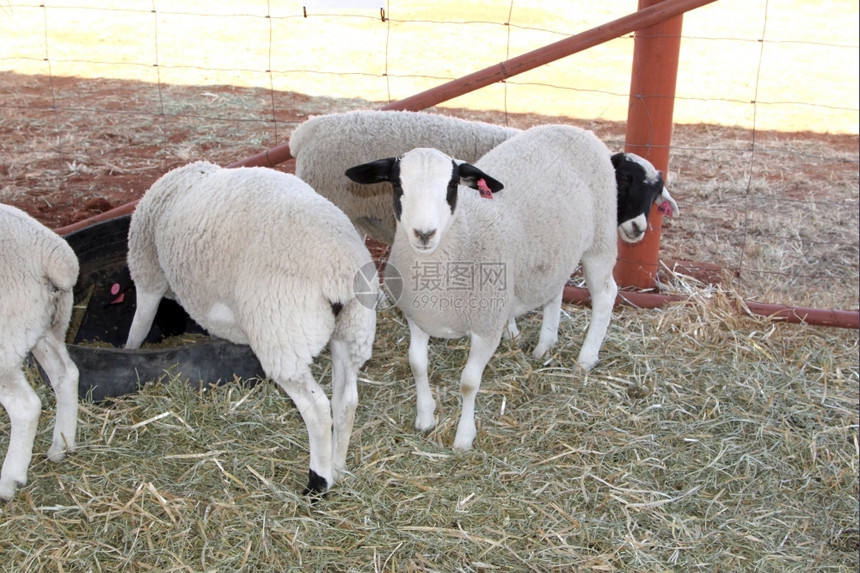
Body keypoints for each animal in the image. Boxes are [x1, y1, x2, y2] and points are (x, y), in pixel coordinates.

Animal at [0, 203, 79, 498]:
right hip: (46, 324)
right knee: (66, 374)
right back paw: (61, 446)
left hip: (5, 342)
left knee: (26, 406)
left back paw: (9, 481)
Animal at [346, 125, 620, 452]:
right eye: (397, 184)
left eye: (452, 185)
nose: (424, 234)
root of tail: (575, 129)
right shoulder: (417, 318)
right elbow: (417, 365)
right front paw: (425, 417)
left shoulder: (486, 328)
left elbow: (468, 382)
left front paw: (464, 437)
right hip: (553, 252)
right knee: (554, 290)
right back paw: (545, 345)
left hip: (601, 240)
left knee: (605, 295)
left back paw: (586, 358)